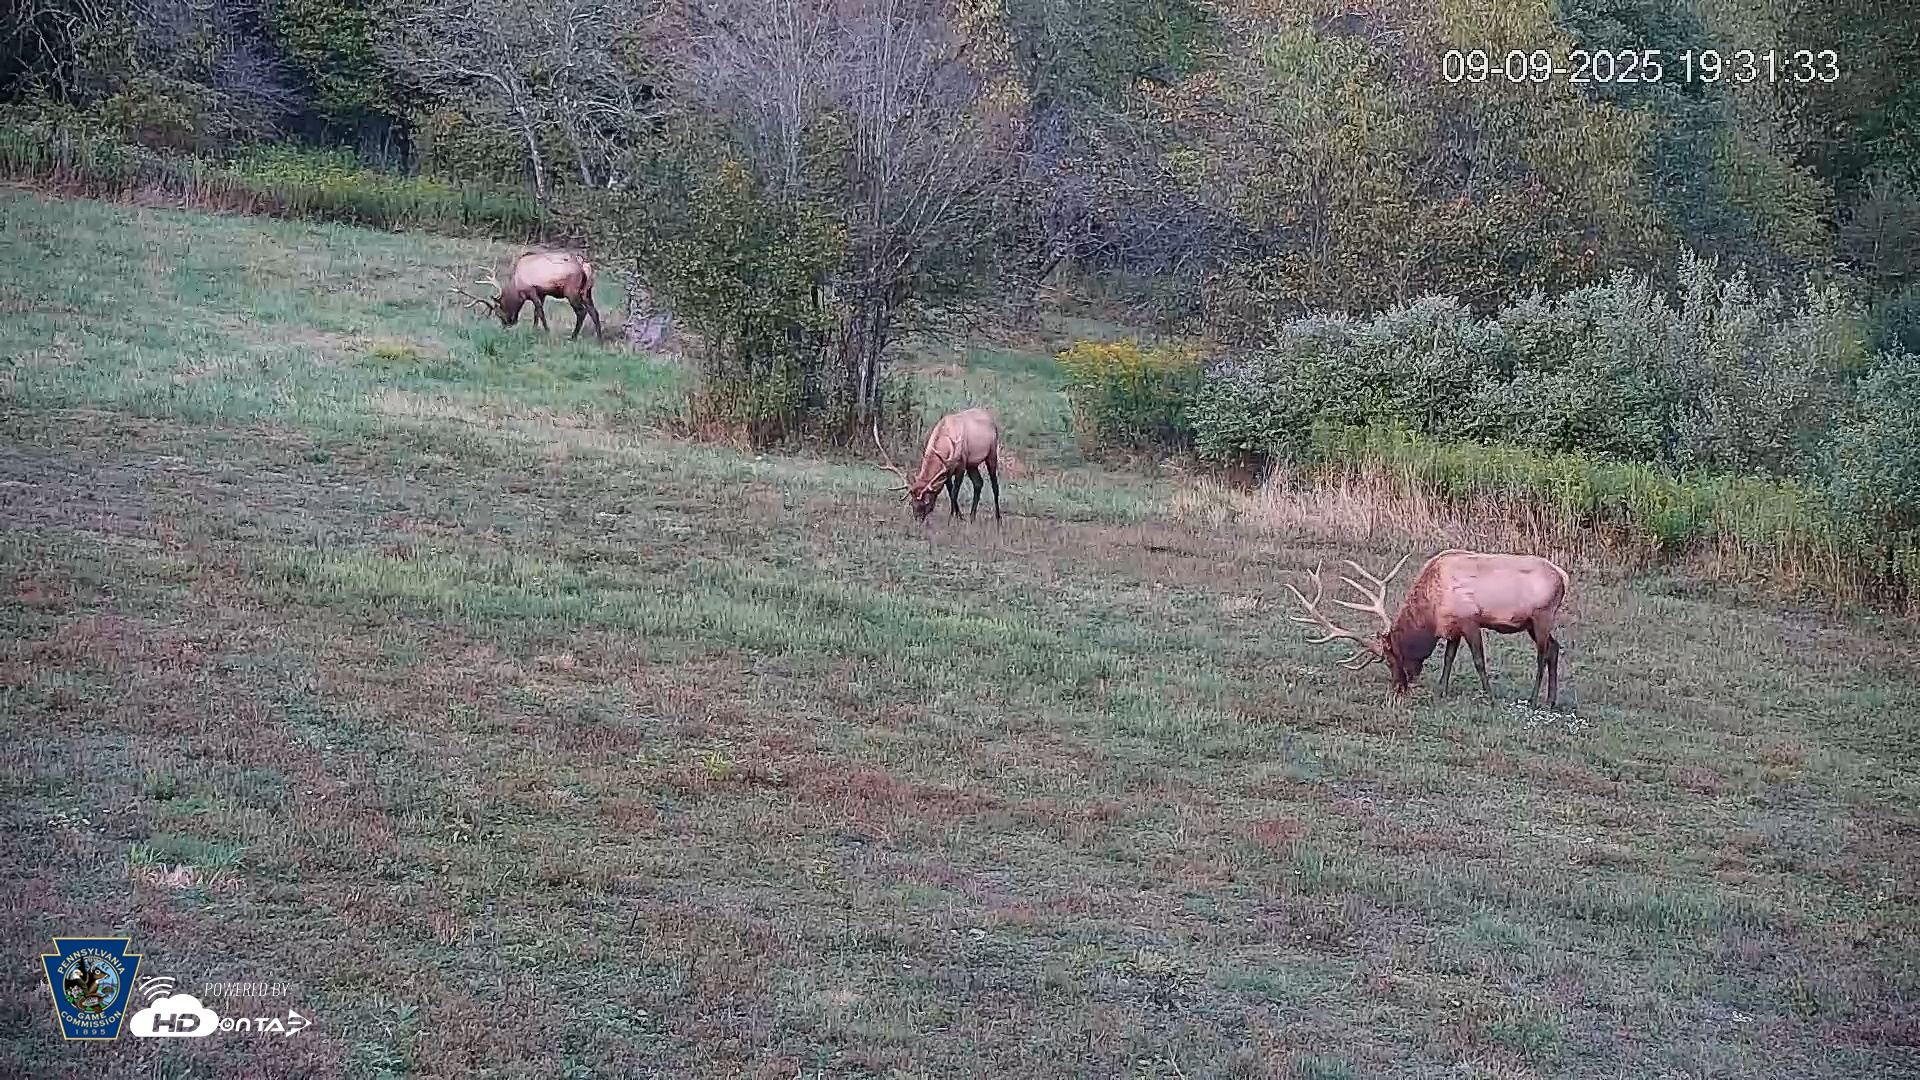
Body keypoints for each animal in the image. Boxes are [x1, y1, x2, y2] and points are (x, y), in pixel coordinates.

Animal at [452, 250, 604, 342]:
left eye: (498, 312)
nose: (507, 324)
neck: (517, 288)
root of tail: (585, 266)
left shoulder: (531, 290)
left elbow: (540, 312)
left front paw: (547, 331)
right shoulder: (542, 293)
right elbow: (536, 312)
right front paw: (535, 329)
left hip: (571, 291)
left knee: (581, 311)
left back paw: (573, 337)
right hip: (586, 291)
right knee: (594, 311)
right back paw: (599, 339)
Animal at [873, 407, 1003, 524]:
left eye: (927, 501)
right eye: (911, 502)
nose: (918, 519)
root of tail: (991, 418)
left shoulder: (961, 465)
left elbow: (954, 493)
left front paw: (951, 518)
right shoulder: (947, 471)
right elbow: (950, 492)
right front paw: (959, 516)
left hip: (991, 452)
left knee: (994, 485)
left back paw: (998, 518)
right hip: (972, 464)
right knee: (978, 483)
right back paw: (972, 517)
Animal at [1285, 548, 1572, 707]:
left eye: (1390, 658)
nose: (1399, 687)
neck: (1431, 612)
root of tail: (1563, 577)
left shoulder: (1469, 620)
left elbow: (1479, 660)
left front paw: (1489, 697)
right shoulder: (1453, 626)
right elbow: (1448, 658)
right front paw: (1442, 690)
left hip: (1541, 616)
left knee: (1543, 654)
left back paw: (1534, 699)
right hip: (1534, 623)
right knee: (1555, 648)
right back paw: (1551, 700)